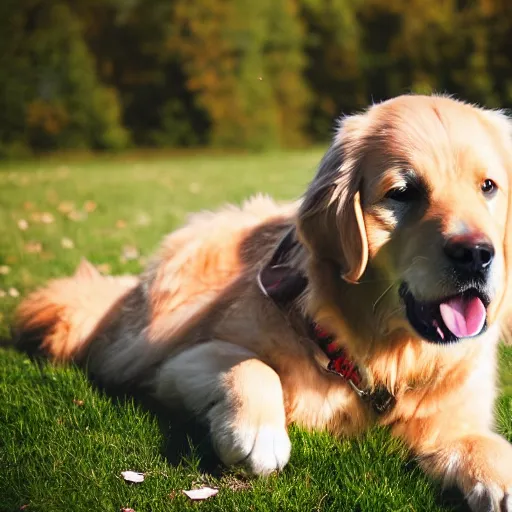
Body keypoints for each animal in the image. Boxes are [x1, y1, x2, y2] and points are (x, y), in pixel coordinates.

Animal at [14, 96, 512, 512]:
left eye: (488, 186)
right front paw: (259, 433)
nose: (476, 254)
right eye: (402, 192)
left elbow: (484, 444)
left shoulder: (451, 421)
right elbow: (253, 366)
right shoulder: (178, 362)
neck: (378, 357)